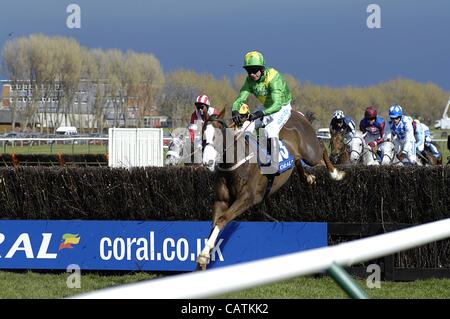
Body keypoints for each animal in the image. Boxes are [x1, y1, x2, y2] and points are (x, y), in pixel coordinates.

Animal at [197, 111, 344, 272]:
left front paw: (204, 256)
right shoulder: (221, 201)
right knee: (298, 161)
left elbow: (222, 220)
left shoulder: (247, 198)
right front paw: (204, 258)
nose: (207, 162)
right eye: (202, 135)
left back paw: (335, 174)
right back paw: (309, 178)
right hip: (299, 156)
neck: (236, 164)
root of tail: (298, 114)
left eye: (217, 135)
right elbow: (215, 223)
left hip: (311, 153)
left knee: (322, 147)